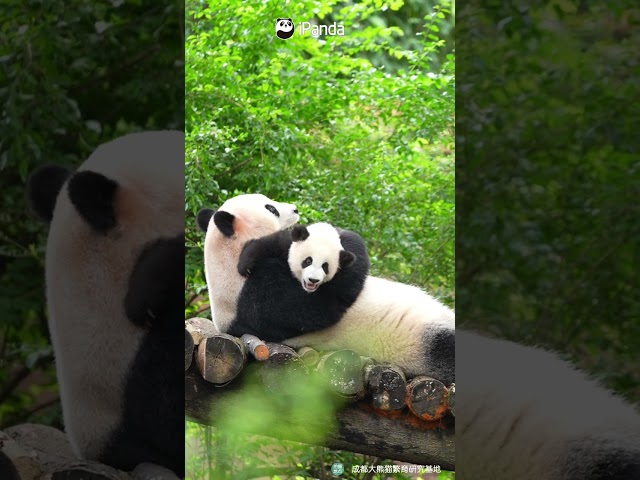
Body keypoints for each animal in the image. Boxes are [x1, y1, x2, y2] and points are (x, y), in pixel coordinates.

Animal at [232, 222, 370, 340]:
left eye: (325, 266)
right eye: (308, 261)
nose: (313, 280)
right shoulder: (288, 245)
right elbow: (268, 243)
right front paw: (246, 266)